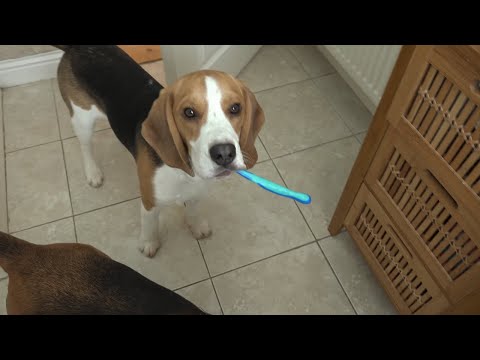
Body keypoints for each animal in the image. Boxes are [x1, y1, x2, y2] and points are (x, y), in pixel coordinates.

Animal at [55, 46, 266, 258]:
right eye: (189, 112)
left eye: (236, 108)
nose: (224, 153)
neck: (184, 172)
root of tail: (76, 48)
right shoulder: (149, 202)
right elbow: (149, 224)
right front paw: (149, 243)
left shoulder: (197, 192)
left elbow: (192, 210)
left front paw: (196, 225)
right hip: (82, 119)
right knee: (85, 147)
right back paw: (93, 172)